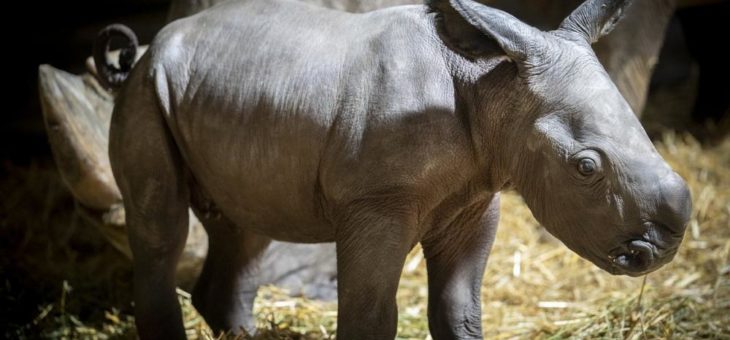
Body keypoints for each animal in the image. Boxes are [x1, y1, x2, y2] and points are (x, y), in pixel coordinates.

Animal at [94, 0, 692, 338]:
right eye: (585, 167)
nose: (662, 246)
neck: (491, 85)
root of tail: (145, 51)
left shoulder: (476, 198)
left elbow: (460, 309)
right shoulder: (376, 204)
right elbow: (371, 317)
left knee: (246, 225)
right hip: (147, 93)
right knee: (162, 226)